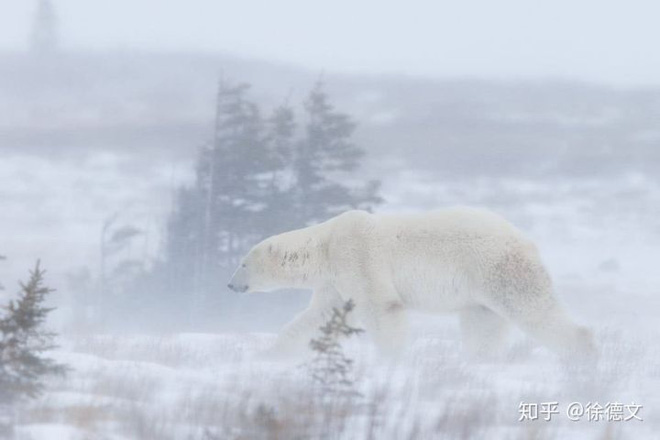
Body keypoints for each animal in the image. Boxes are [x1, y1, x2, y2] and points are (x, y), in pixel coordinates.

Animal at [227, 209, 592, 358]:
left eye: (243, 263)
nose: (230, 285)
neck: (326, 244)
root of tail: (526, 240)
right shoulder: (335, 280)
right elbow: (318, 316)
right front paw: (273, 353)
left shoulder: (357, 255)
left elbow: (380, 306)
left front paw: (390, 359)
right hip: (479, 289)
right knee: (483, 322)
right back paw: (479, 358)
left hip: (497, 268)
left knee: (531, 307)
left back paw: (582, 352)